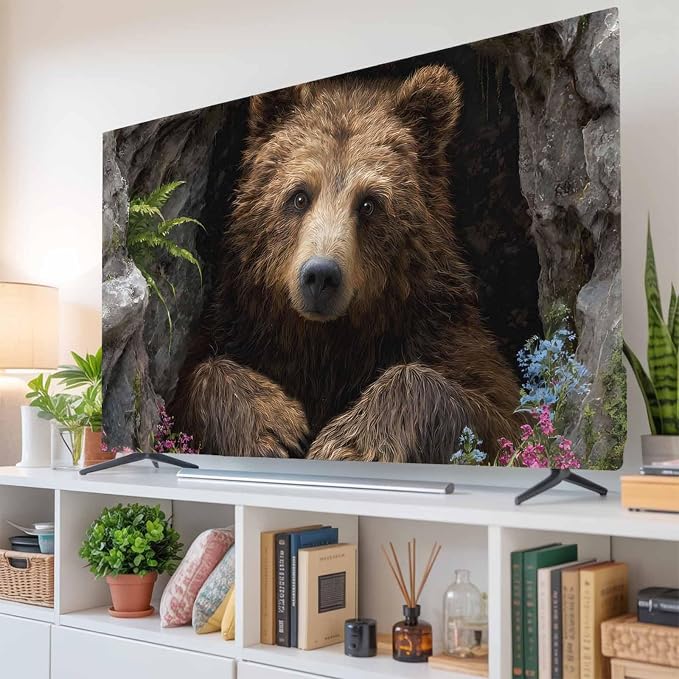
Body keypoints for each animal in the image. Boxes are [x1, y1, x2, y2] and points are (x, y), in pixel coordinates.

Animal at [172, 64, 521, 464]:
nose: (320, 276)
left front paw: (347, 442)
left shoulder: (440, 327)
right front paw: (274, 426)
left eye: (369, 203)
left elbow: (499, 412)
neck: (331, 339)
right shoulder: (242, 325)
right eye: (299, 196)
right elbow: (196, 374)